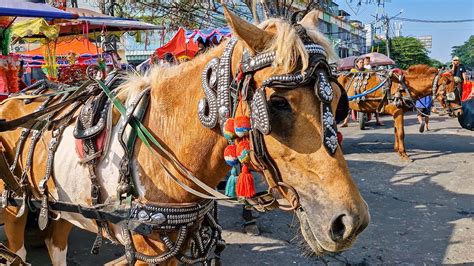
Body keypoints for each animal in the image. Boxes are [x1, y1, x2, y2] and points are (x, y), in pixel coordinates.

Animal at [0, 9, 370, 264]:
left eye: (338, 102)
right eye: (277, 103)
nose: (350, 222)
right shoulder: (149, 250)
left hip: (61, 205)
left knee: (55, 242)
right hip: (13, 205)